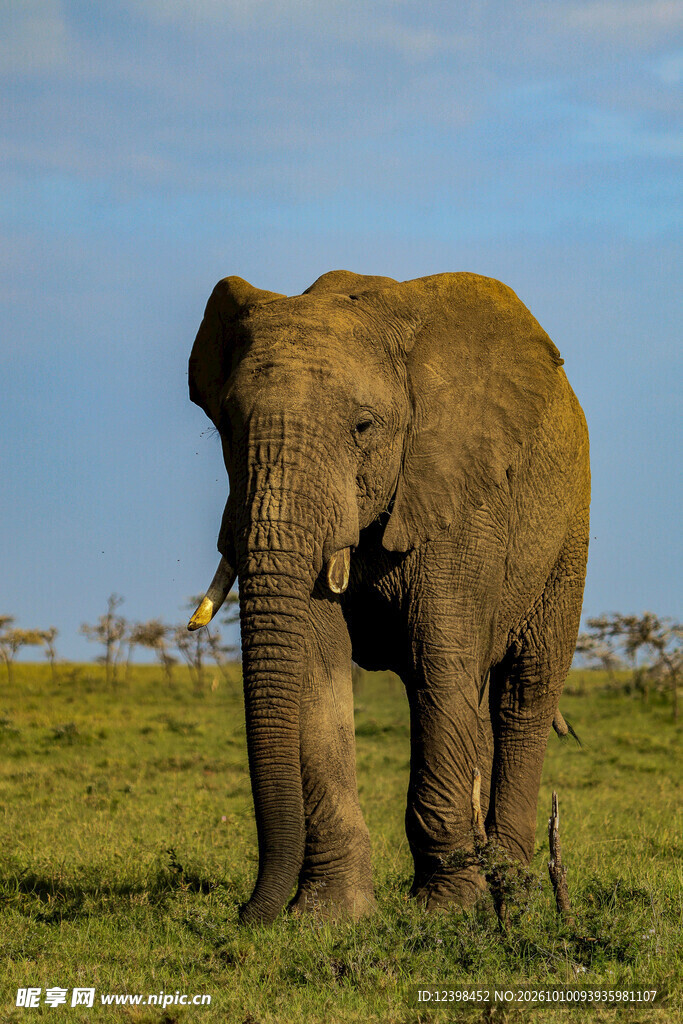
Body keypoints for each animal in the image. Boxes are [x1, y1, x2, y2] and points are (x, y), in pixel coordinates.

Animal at [186, 269, 590, 926]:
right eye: (227, 426)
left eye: (363, 427)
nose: (246, 916)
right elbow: (317, 664)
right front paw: (328, 916)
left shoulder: (461, 488)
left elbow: (440, 658)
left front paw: (448, 912)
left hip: (568, 527)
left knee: (523, 692)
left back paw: (512, 890)